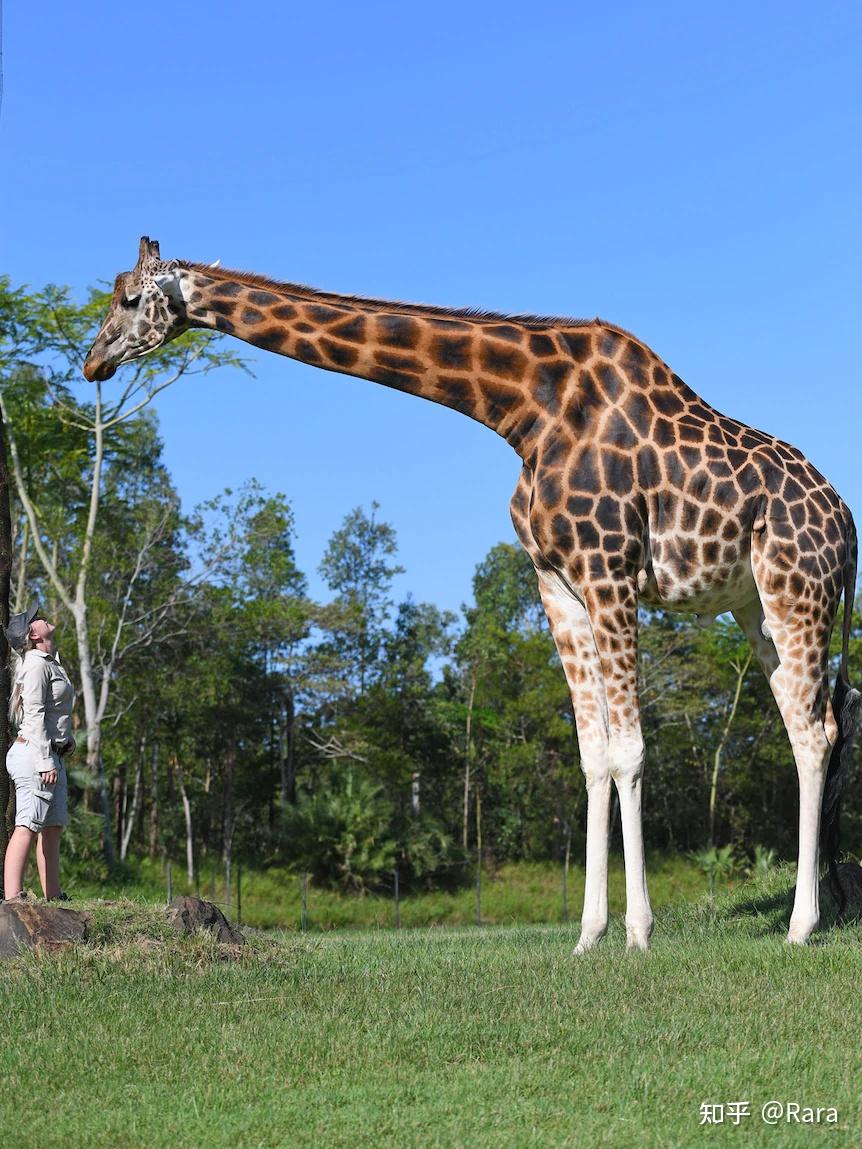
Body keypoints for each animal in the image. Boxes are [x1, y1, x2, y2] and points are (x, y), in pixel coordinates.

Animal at [86, 237, 859, 946]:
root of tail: (847, 524)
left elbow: (632, 749)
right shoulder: (556, 582)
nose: (93, 362)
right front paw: (589, 935)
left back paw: (801, 925)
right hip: (755, 607)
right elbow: (594, 754)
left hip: (797, 591)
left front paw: (639, 932)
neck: (523, 408)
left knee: (815, 732)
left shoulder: (609, 569)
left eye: (127, 298)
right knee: (807, 727)